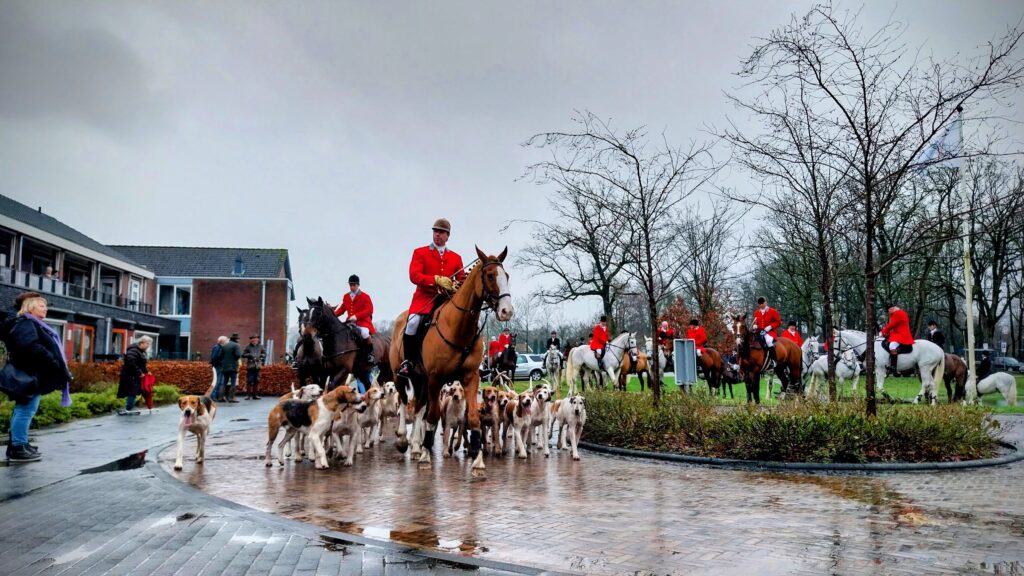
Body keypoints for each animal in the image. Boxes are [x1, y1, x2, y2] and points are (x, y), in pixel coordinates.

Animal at [385, 243, 512, 473]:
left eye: (506, 275)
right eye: (490, 275)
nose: (507, 311)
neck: (458, 329)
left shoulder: (470, 377)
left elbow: (472, 418)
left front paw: (477, 460)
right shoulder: (436, 379)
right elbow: (433, 416)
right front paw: (426, 455)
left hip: (421, 379)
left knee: (419, 407)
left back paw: (415, 446)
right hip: (400, 375)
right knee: (404, 402)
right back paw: (403, 441)